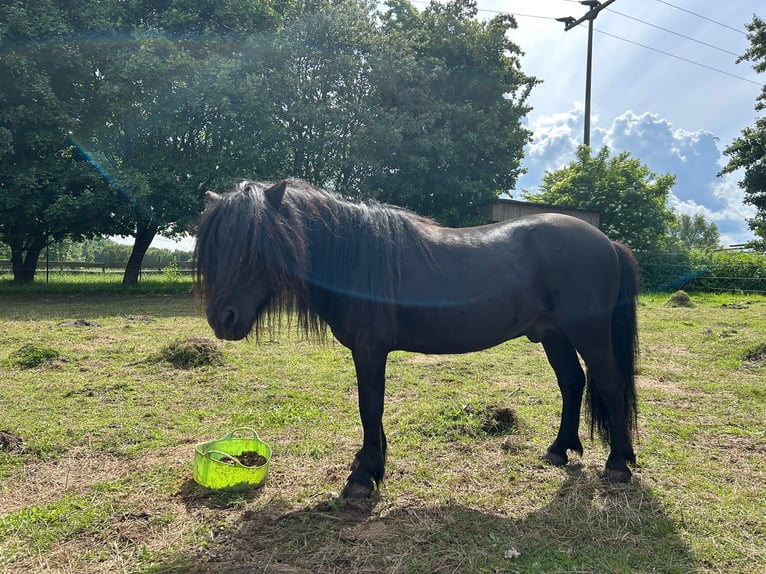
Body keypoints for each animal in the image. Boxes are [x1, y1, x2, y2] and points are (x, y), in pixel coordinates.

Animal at [194, 178, 639, 499]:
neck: (354, 259)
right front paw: (371, 464)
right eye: (214, 246)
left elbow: (369, 407)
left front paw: (363, 477)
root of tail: (607, 242)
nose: (223, 319)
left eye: (257, 245)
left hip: (588, 334)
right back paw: (559, 449)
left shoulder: (370, 349)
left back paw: (618, 464)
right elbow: (372, 410)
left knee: (610, 384)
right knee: (572, 382)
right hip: (553, 335)